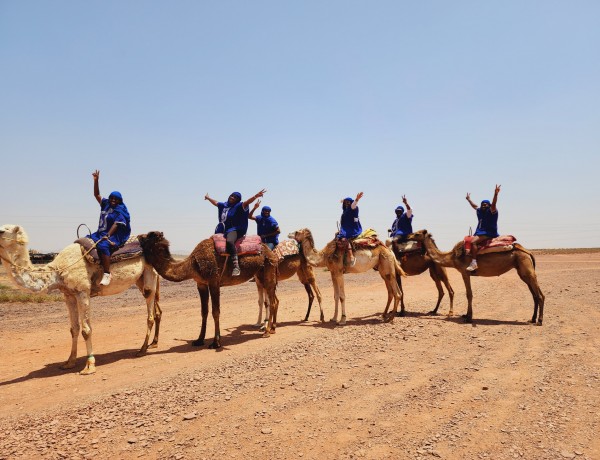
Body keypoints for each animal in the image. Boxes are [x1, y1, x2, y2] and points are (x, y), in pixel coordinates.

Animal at [0, 225, 161, 376]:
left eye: (3, 230)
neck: (58, 271)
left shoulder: (82, 292)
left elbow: (86, 330)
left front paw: (89, 366)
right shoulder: (69, 295)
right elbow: (74, 329)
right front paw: (69, 362)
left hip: (149, 274)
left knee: (150, 312)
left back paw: (142, 349)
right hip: (140, 279)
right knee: (156, 310)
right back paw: (153, 343)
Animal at [139, 232, 280, 346]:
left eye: (149, 236)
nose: (139, 236)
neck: (192, 264)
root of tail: (271, 252)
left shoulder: (214, 282)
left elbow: (215, 311)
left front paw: (216, 342)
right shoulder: (201, 284)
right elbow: (204, 311)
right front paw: (199, 340)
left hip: (268, 271)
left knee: (272, 302)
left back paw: (267, 332)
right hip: (260, 274)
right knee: (274, 300)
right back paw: (272, 329)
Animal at [408, 229, 544, 324]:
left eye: (417, 234)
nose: (408, 236)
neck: (452, 257)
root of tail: (528, 252)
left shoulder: (465, 272)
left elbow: (469, 294)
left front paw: (468, 318)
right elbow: (469, 294)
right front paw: (466, 315)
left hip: (527, 268)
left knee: (540, 295)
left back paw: (540, 321)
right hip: (523, 272)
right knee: (535, 295)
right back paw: (532, 319)